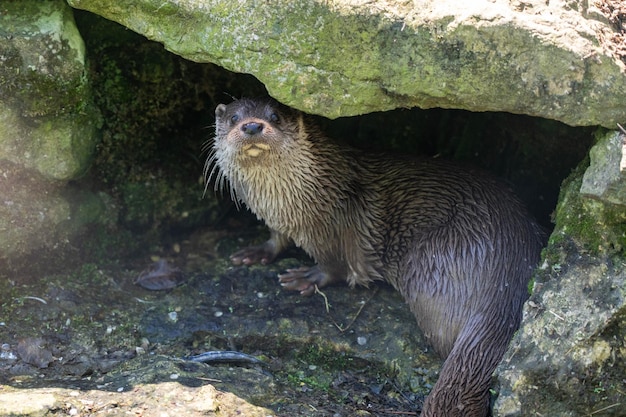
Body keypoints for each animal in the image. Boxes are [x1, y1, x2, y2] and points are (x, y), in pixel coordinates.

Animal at [206, 97, 540, 416]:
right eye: (234, 117)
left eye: (275, 116)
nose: (252, 126)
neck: (295, 201)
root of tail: (508, 282)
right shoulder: (279, 221)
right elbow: (277, 238)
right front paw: (256, 252)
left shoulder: (334, 227)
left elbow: (334, 265)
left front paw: (307, 277)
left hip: (431, 260)